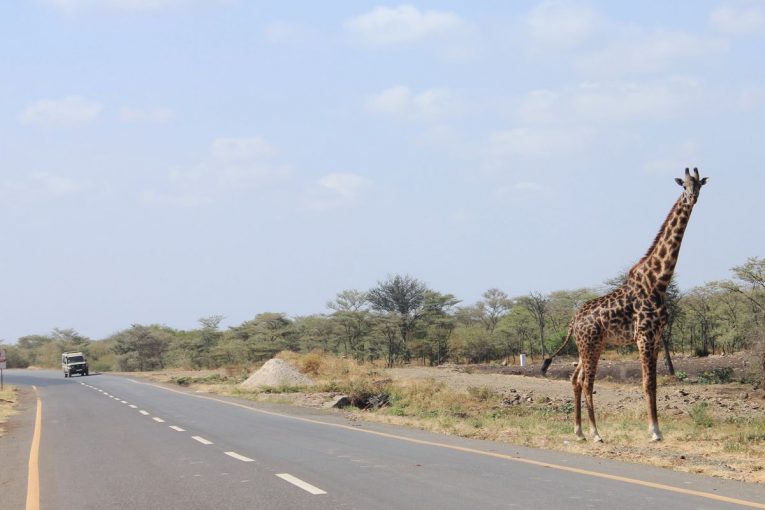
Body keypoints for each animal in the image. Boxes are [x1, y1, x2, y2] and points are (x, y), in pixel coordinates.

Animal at [540, 167, 708, 442]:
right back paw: (595, 433)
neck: (657, 281)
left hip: (590, 345)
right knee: (587, 382)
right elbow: (647, 383)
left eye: (699, 185)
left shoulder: (657, 337)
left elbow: (654, 383)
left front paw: (656, 429)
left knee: (576, 379)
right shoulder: (644, 336)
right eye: (683, 185)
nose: (691, 198)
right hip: (590, 344)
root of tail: (573, 321)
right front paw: (655, 432)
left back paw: (579, 431)